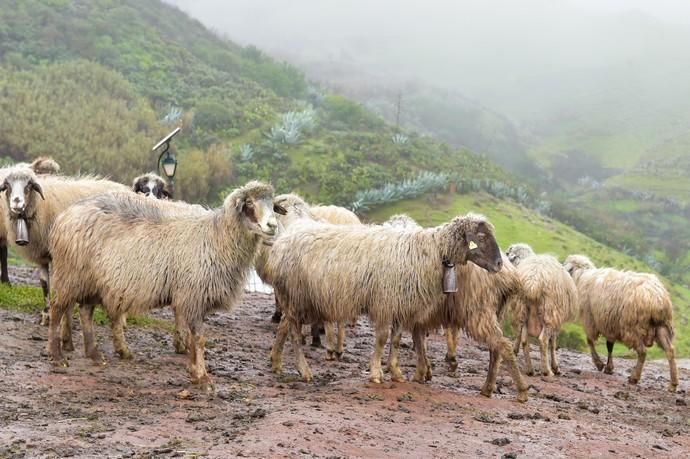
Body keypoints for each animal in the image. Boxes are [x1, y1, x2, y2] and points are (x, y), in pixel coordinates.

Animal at [47, 181, 280, 392]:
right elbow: (199, 338)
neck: (217, 238)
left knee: (86, 311)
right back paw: (57, 357)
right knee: (56, 310)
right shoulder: (193, 295)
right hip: (70, 274)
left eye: (272, 204)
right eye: (249, 203)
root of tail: (64, 216)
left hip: (93, 281)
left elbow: (191, 337)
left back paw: (94, 354)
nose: (273, 226)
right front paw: (202, 377)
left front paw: (192, 371)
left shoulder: (192, 298)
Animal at [266, 212, 502, 388]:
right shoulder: (384, 303)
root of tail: (281, 243)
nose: (499, 264)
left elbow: (395, 340)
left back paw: (276, 363)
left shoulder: (399, 304)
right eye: (481, 237)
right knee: (294, 333)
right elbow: (381, 338)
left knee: (285, 325)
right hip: (297, 296)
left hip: (296, 299)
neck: (430, 251)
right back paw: (303, 370)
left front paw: (396, 372)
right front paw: (376, 372)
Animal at [506, 243, 576, 380]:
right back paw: (547, 371)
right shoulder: (557, 319)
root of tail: (533, 281)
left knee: (524, 340)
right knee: (543, 340)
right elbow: (553, 344)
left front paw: (514, 350)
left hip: (523, 309)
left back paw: (530, 370)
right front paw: (556, 367)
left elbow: (518, 336)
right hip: (550, 311)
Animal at [564, 255, 676, 392]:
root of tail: (656, 298)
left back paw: (634, 377)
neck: (582, 276)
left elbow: (590, 341)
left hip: (632, 327)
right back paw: (673, 384)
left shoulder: (590, 319)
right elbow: (609, 346)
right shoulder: (609, 323)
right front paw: (609, 368)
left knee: (642, 352)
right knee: (670, 351)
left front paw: (599, 364)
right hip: (662, 326)